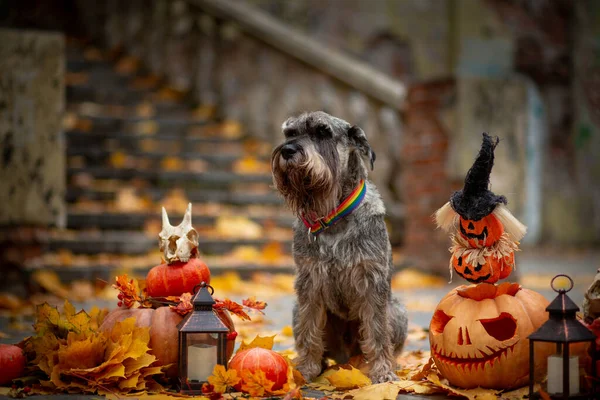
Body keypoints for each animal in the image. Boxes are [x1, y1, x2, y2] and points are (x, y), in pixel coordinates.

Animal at [270, 111, 408, 382]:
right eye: (290, 133)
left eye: (323, 132)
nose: (288, 150)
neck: (333, 215)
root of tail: (346, 359)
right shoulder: (309, 282)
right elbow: (309, 328)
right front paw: (306, 369)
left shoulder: (372, 281)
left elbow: (377, 331)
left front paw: (383, 373)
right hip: (295, 311)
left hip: (398, 313)